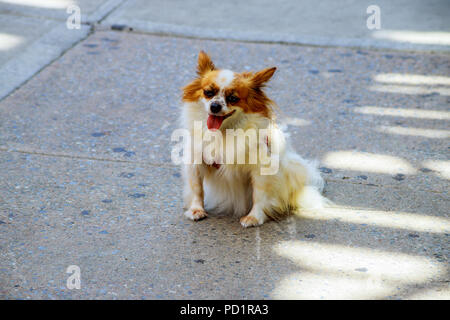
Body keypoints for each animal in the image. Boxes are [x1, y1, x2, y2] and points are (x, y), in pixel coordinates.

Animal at [181, 50, 328, 228]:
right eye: (208, 93)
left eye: (233, 98)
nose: (214, 106)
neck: (224, 132)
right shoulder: (195, 161)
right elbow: (197, 188)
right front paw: (196, 210)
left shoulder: (261, 169)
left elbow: (259, 195)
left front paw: (254, 217)